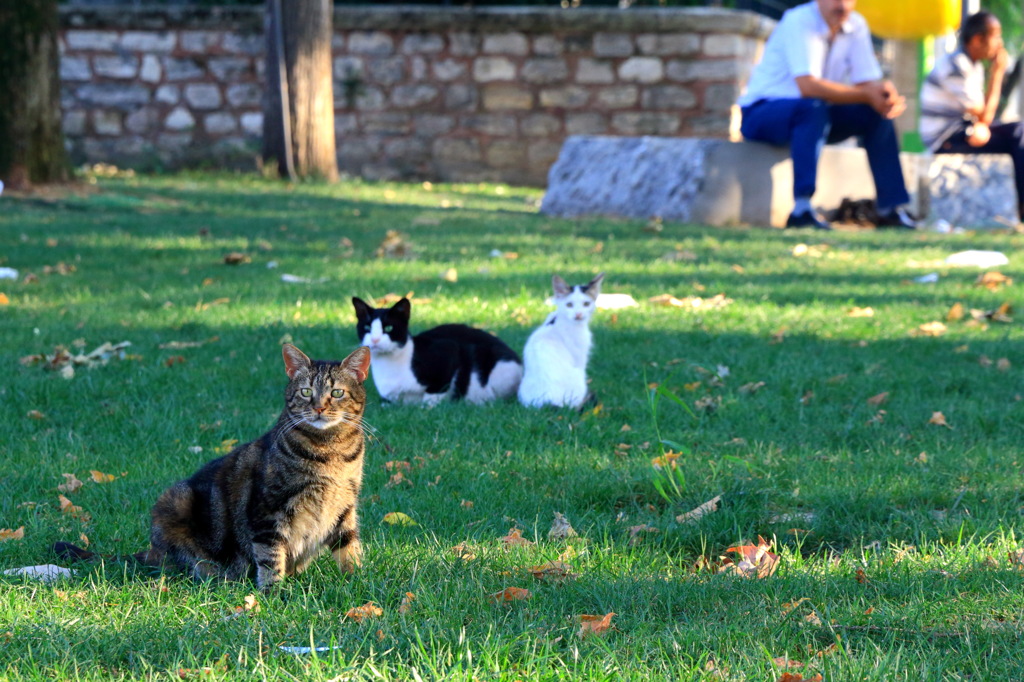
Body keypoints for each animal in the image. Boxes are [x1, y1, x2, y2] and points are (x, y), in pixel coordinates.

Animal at [54, 342, 370, 585]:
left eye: (337, 393)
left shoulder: (345, 506)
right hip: (173, 500)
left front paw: (357, 582)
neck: (331, 451)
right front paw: (274, 594)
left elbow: (350, 546)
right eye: (306, 392)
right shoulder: (267, 509)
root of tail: (152, 550)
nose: (319, 408)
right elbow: (270, 557)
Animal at [516, 272, 602, 409]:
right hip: (579, 377)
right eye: (569, 305)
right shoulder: (580, 358)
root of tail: (547, 402)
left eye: (586, 304)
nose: (578, 314)